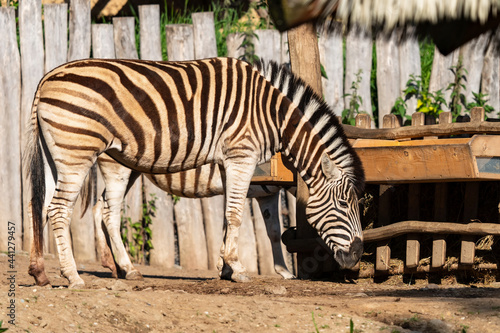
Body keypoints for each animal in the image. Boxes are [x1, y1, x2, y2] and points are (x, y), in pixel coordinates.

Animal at [94, 154, 294, 278]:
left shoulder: (267, 193)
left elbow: (273, 232)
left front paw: (284, 272)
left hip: (131, 171)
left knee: (98, 208)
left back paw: (112, 265)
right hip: (117, 169)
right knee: (109, 214)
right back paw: (128, 268)